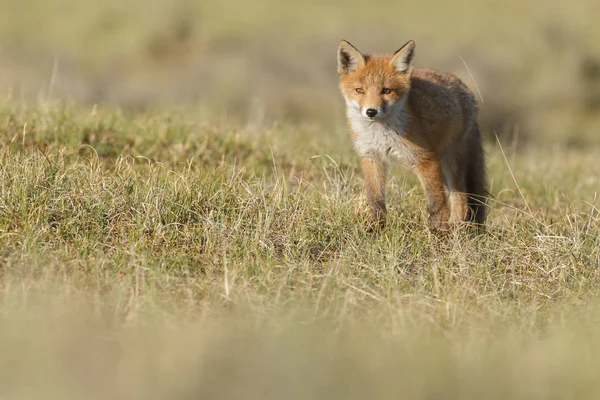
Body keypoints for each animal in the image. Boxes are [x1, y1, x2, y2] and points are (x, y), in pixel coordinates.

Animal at [338, 40, 488, 231]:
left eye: (386, 91)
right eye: (359, 90)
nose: (371, 111)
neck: (381, 133)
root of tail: (463, 86)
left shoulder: (426, 159)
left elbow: (436, 203)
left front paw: (439, 232)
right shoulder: (371, 157)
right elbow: (375, 200)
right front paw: (376, 228)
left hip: (450, 161)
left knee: (461, 197)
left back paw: (456, 228)